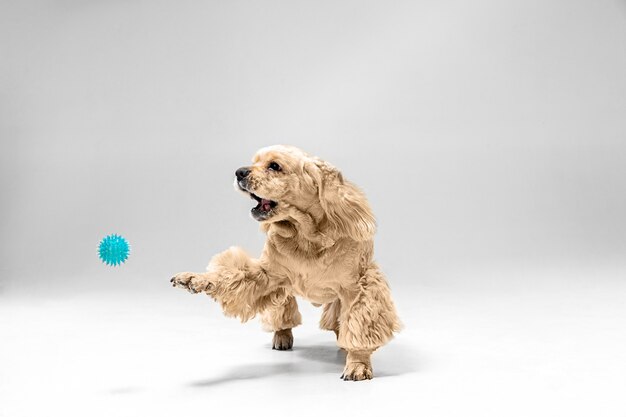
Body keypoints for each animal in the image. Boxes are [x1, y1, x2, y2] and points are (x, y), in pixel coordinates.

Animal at [169, 145, 400, 380]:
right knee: (283, 316)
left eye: (274, 166)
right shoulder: (266, 274)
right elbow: (230, 274)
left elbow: (358, 326)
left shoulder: (358, 287)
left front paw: (357, 364)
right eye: (254, 161)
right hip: (283, 291)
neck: (307, 236)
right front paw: (194, 279)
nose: (239, 172)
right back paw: (282, 337)